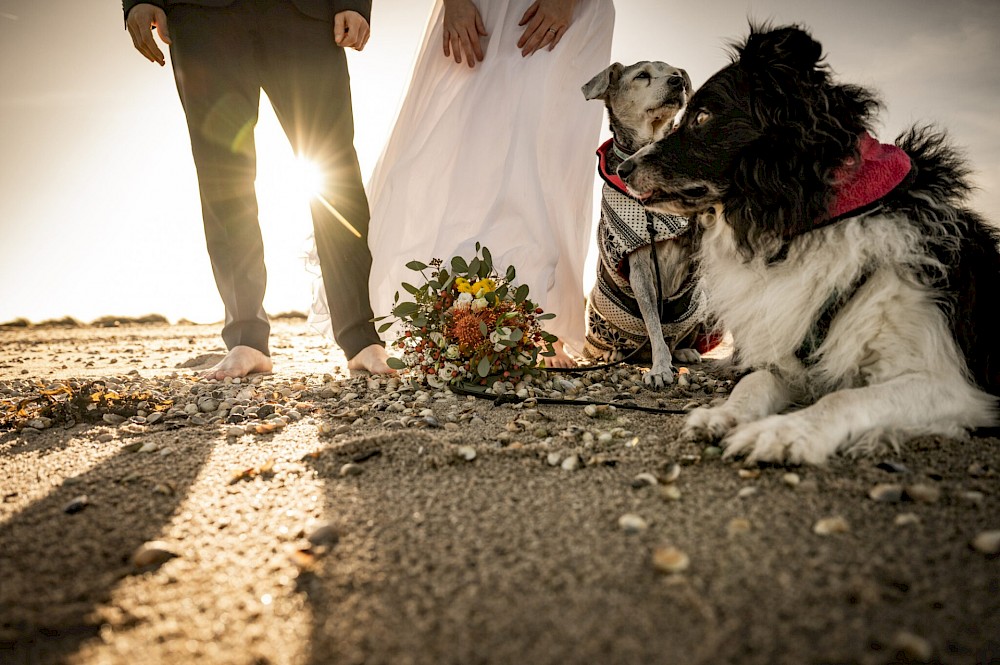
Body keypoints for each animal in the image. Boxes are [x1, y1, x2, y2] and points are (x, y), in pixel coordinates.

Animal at [584, 61, 716, 390]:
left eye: (675, 72)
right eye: (642, 75)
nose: (677, 81)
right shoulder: (639, 266)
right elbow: (654, 323)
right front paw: (659, 367)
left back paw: (684, 351)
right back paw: (614, 353)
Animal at [616, 24, 1000, 462]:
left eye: (703, 117)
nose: (622, 169)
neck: (809, 221)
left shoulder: (949, 383)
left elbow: (843, 398)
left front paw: (784, 432)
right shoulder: (792, 353)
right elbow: (756, 382)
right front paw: (723, 415)